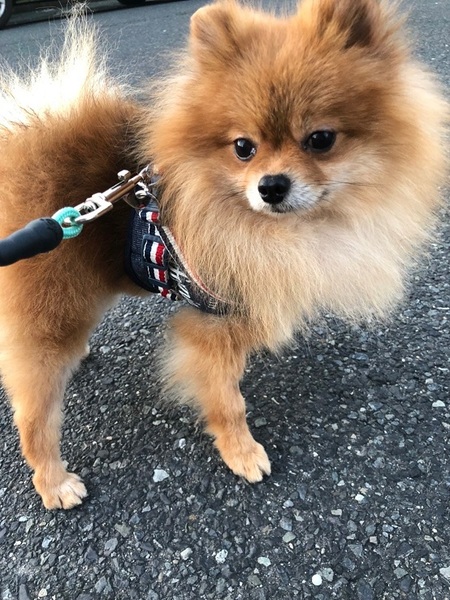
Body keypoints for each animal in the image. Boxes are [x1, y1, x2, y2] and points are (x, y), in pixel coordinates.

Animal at [0, 0, 447, 509]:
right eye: (243, 148)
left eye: (321, 139)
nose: (271, 186)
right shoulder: (213, 325)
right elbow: (227, 400)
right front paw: (242, 452)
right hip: (53, 313)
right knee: (33, 412)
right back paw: (53, 482)